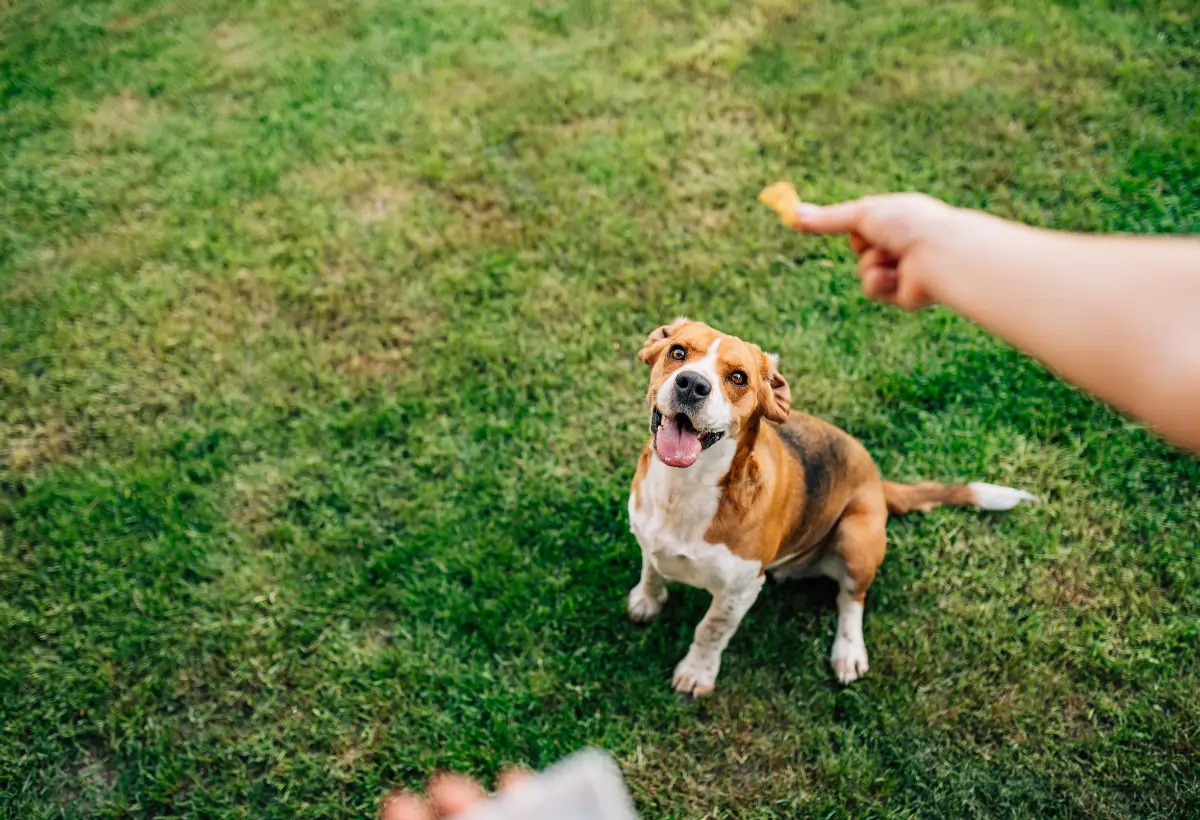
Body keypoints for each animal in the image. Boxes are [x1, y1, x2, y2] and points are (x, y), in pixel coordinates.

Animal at [628, 316, 1032, 696]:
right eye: (678, 352)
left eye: (738, 377)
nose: (692, 384)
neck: (685, 487)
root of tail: (877, 482)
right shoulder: (648, 539)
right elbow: (651, 570)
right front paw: (647, 601)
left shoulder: (738, 591)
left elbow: (710, 631)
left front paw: (697, 673)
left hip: (856, 538)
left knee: (852, 599)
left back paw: (848, 652)